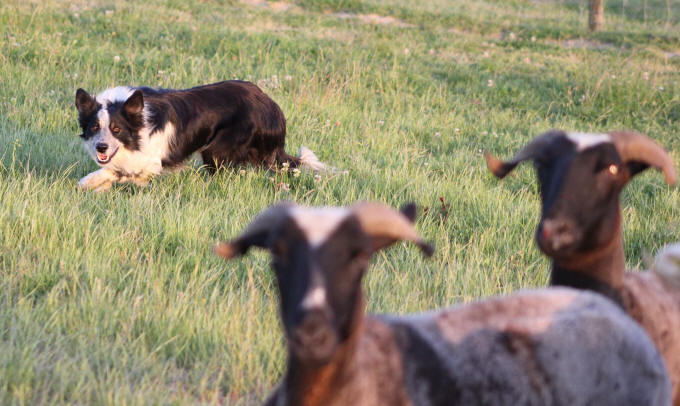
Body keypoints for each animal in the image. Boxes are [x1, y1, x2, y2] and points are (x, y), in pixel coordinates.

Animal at [74, 81, 324, 193]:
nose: (101, 148)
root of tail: (271, 105)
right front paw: (98, 185)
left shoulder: (150, 161)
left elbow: (122, 172)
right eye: (95, 127)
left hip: (218, 149)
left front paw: (91, 181)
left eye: (116, 129)